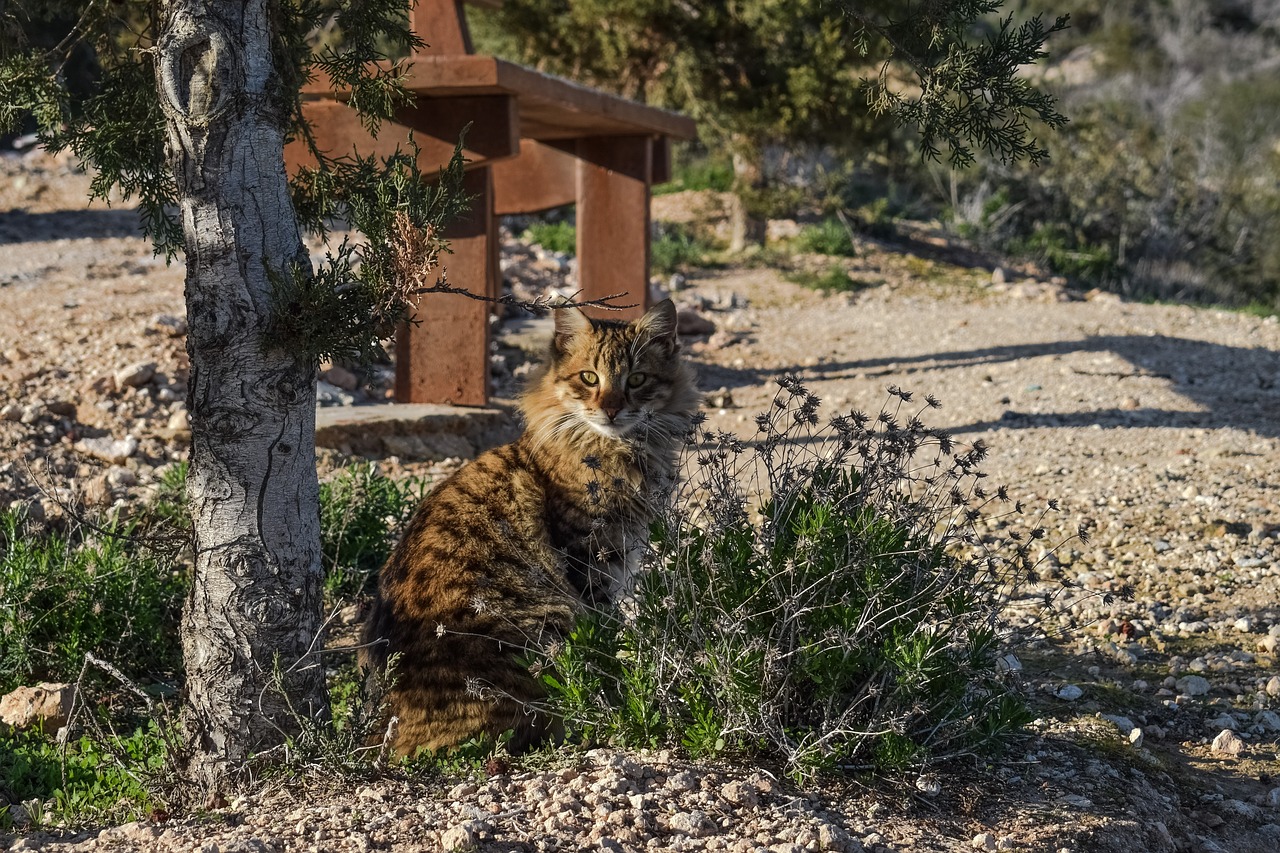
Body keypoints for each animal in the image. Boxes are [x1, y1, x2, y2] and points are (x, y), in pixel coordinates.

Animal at [360, 298, 701, 753]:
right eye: (589, 378)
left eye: (638, 379)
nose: (611, 409)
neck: (613, 448)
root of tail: (379, 728)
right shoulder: (592, 559)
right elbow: (604, 639)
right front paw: (618, 697)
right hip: (545, 619)